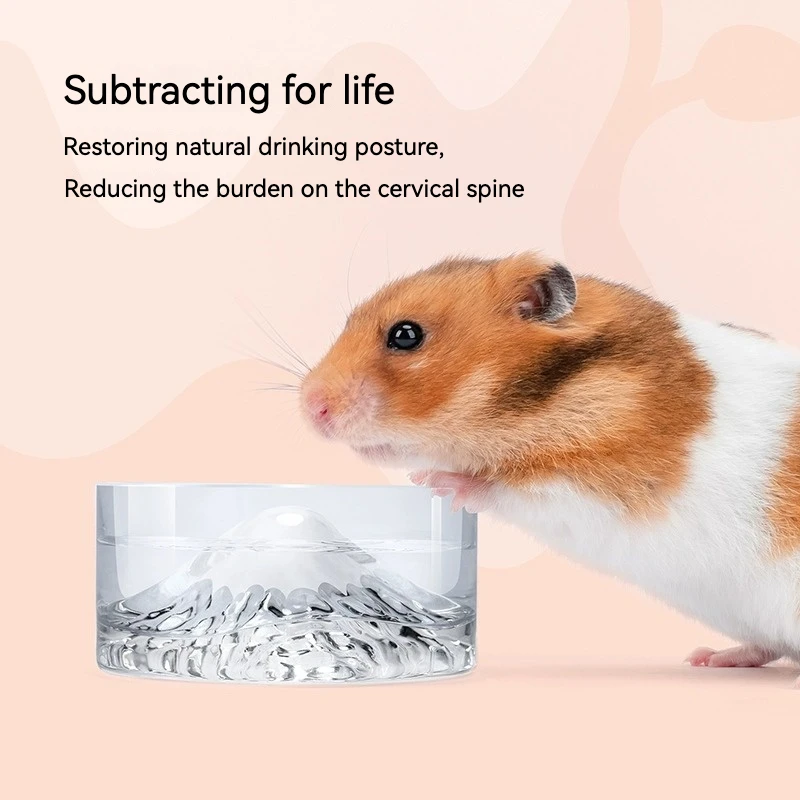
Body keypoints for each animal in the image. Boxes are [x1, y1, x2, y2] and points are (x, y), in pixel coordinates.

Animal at [300, 251, 800, 686]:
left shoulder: (599, 487)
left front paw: (432, 481)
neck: (547, 401)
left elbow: (506, 488)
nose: (309, 408)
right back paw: (708, 657)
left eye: (406, 335)